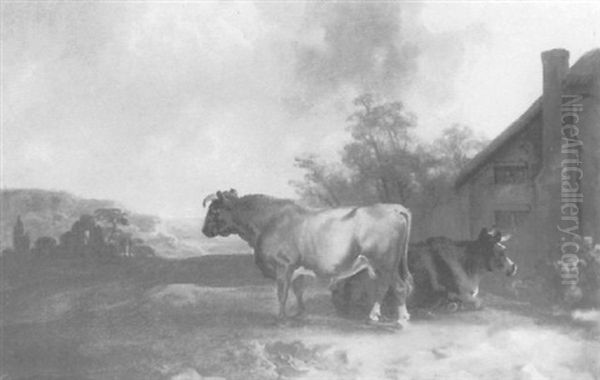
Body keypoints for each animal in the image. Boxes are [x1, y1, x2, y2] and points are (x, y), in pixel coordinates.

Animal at [202, 189, 412, 326]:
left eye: (214, 211)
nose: (204, 230)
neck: (267, 222)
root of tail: (393, 207)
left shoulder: (284, 265)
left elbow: (282, 293)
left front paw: (281, 318)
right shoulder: (296, 269)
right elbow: (298, 290)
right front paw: (299, 313)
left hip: (384, 262)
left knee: (395, 287)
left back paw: (393, 319)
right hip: (383, 265)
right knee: (390, 287)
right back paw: (383, 316)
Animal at [330, 229, 516, 318]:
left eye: (505, 250)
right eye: (501, 253)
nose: (514, 267)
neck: (468, 264)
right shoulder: (460, 294)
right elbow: (479, 303)